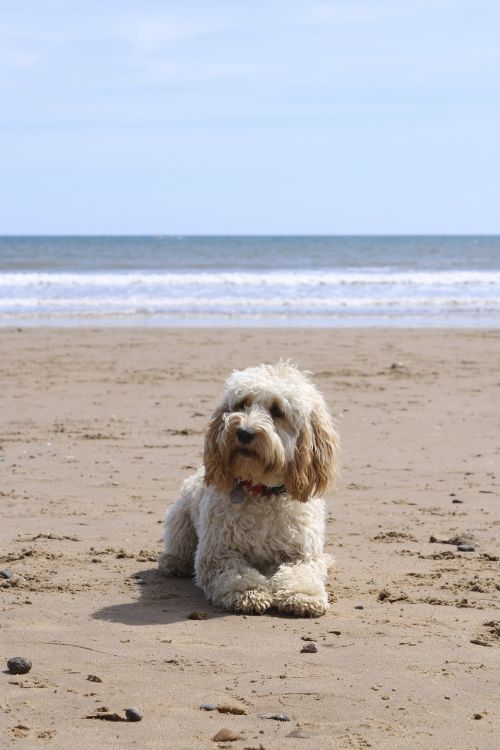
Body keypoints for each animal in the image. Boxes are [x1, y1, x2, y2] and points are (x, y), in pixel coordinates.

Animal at [159, 362, 340, 616]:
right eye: (242, 404)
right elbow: (236, 574)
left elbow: (302, 573)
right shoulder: (218, 552)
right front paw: (248, 592)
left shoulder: (302, 554)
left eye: (277, 411)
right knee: (179, 546)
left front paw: (303, 596)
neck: (261, 490)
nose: (244, 432)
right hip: (180, 519)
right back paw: (174, 562)